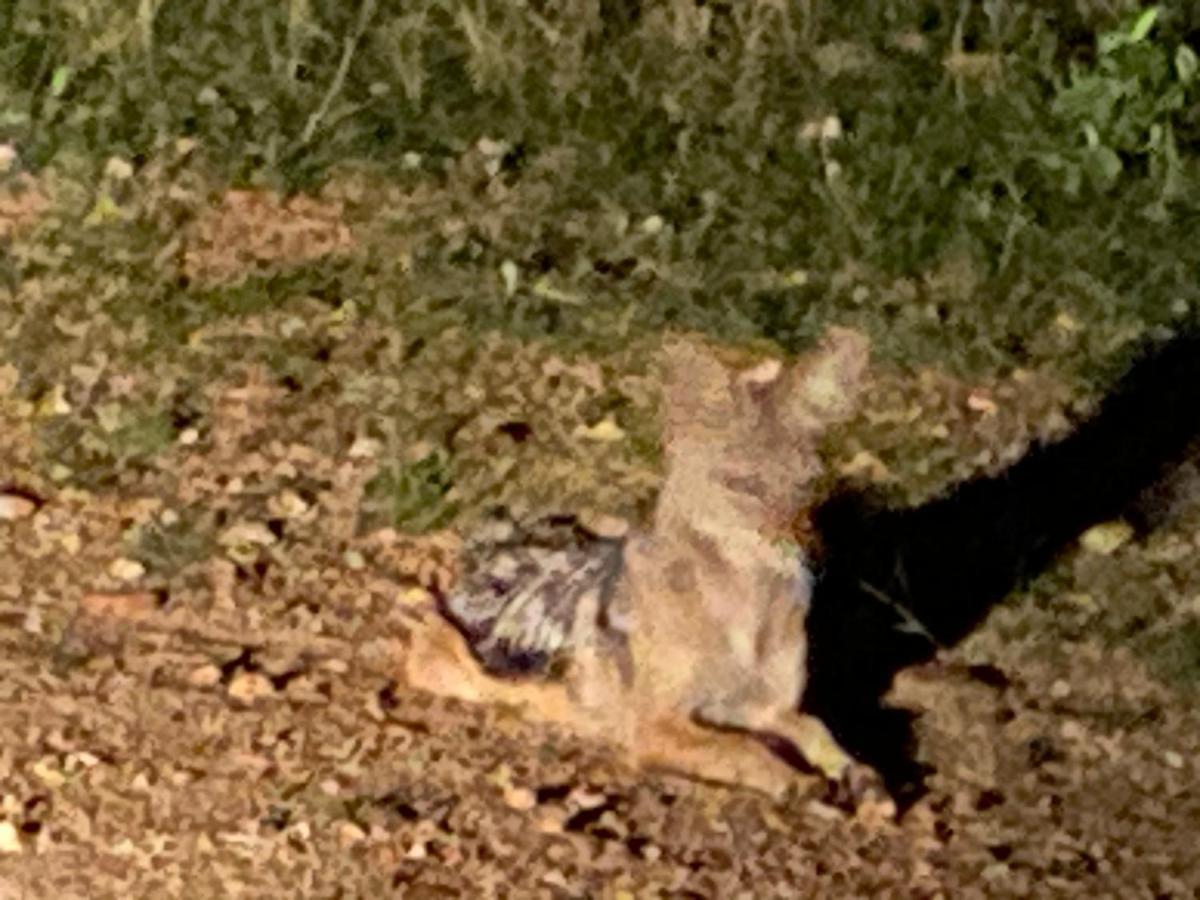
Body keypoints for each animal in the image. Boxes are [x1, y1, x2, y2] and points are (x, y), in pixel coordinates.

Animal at [400, 328, 873, 801]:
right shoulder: (657, 725)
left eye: (806, 483)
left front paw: (853, 772)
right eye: (740, 484)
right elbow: (746, 749)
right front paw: (798, 781)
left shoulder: (764, 708)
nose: (810, 549)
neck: (747, 611)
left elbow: (815, 728)